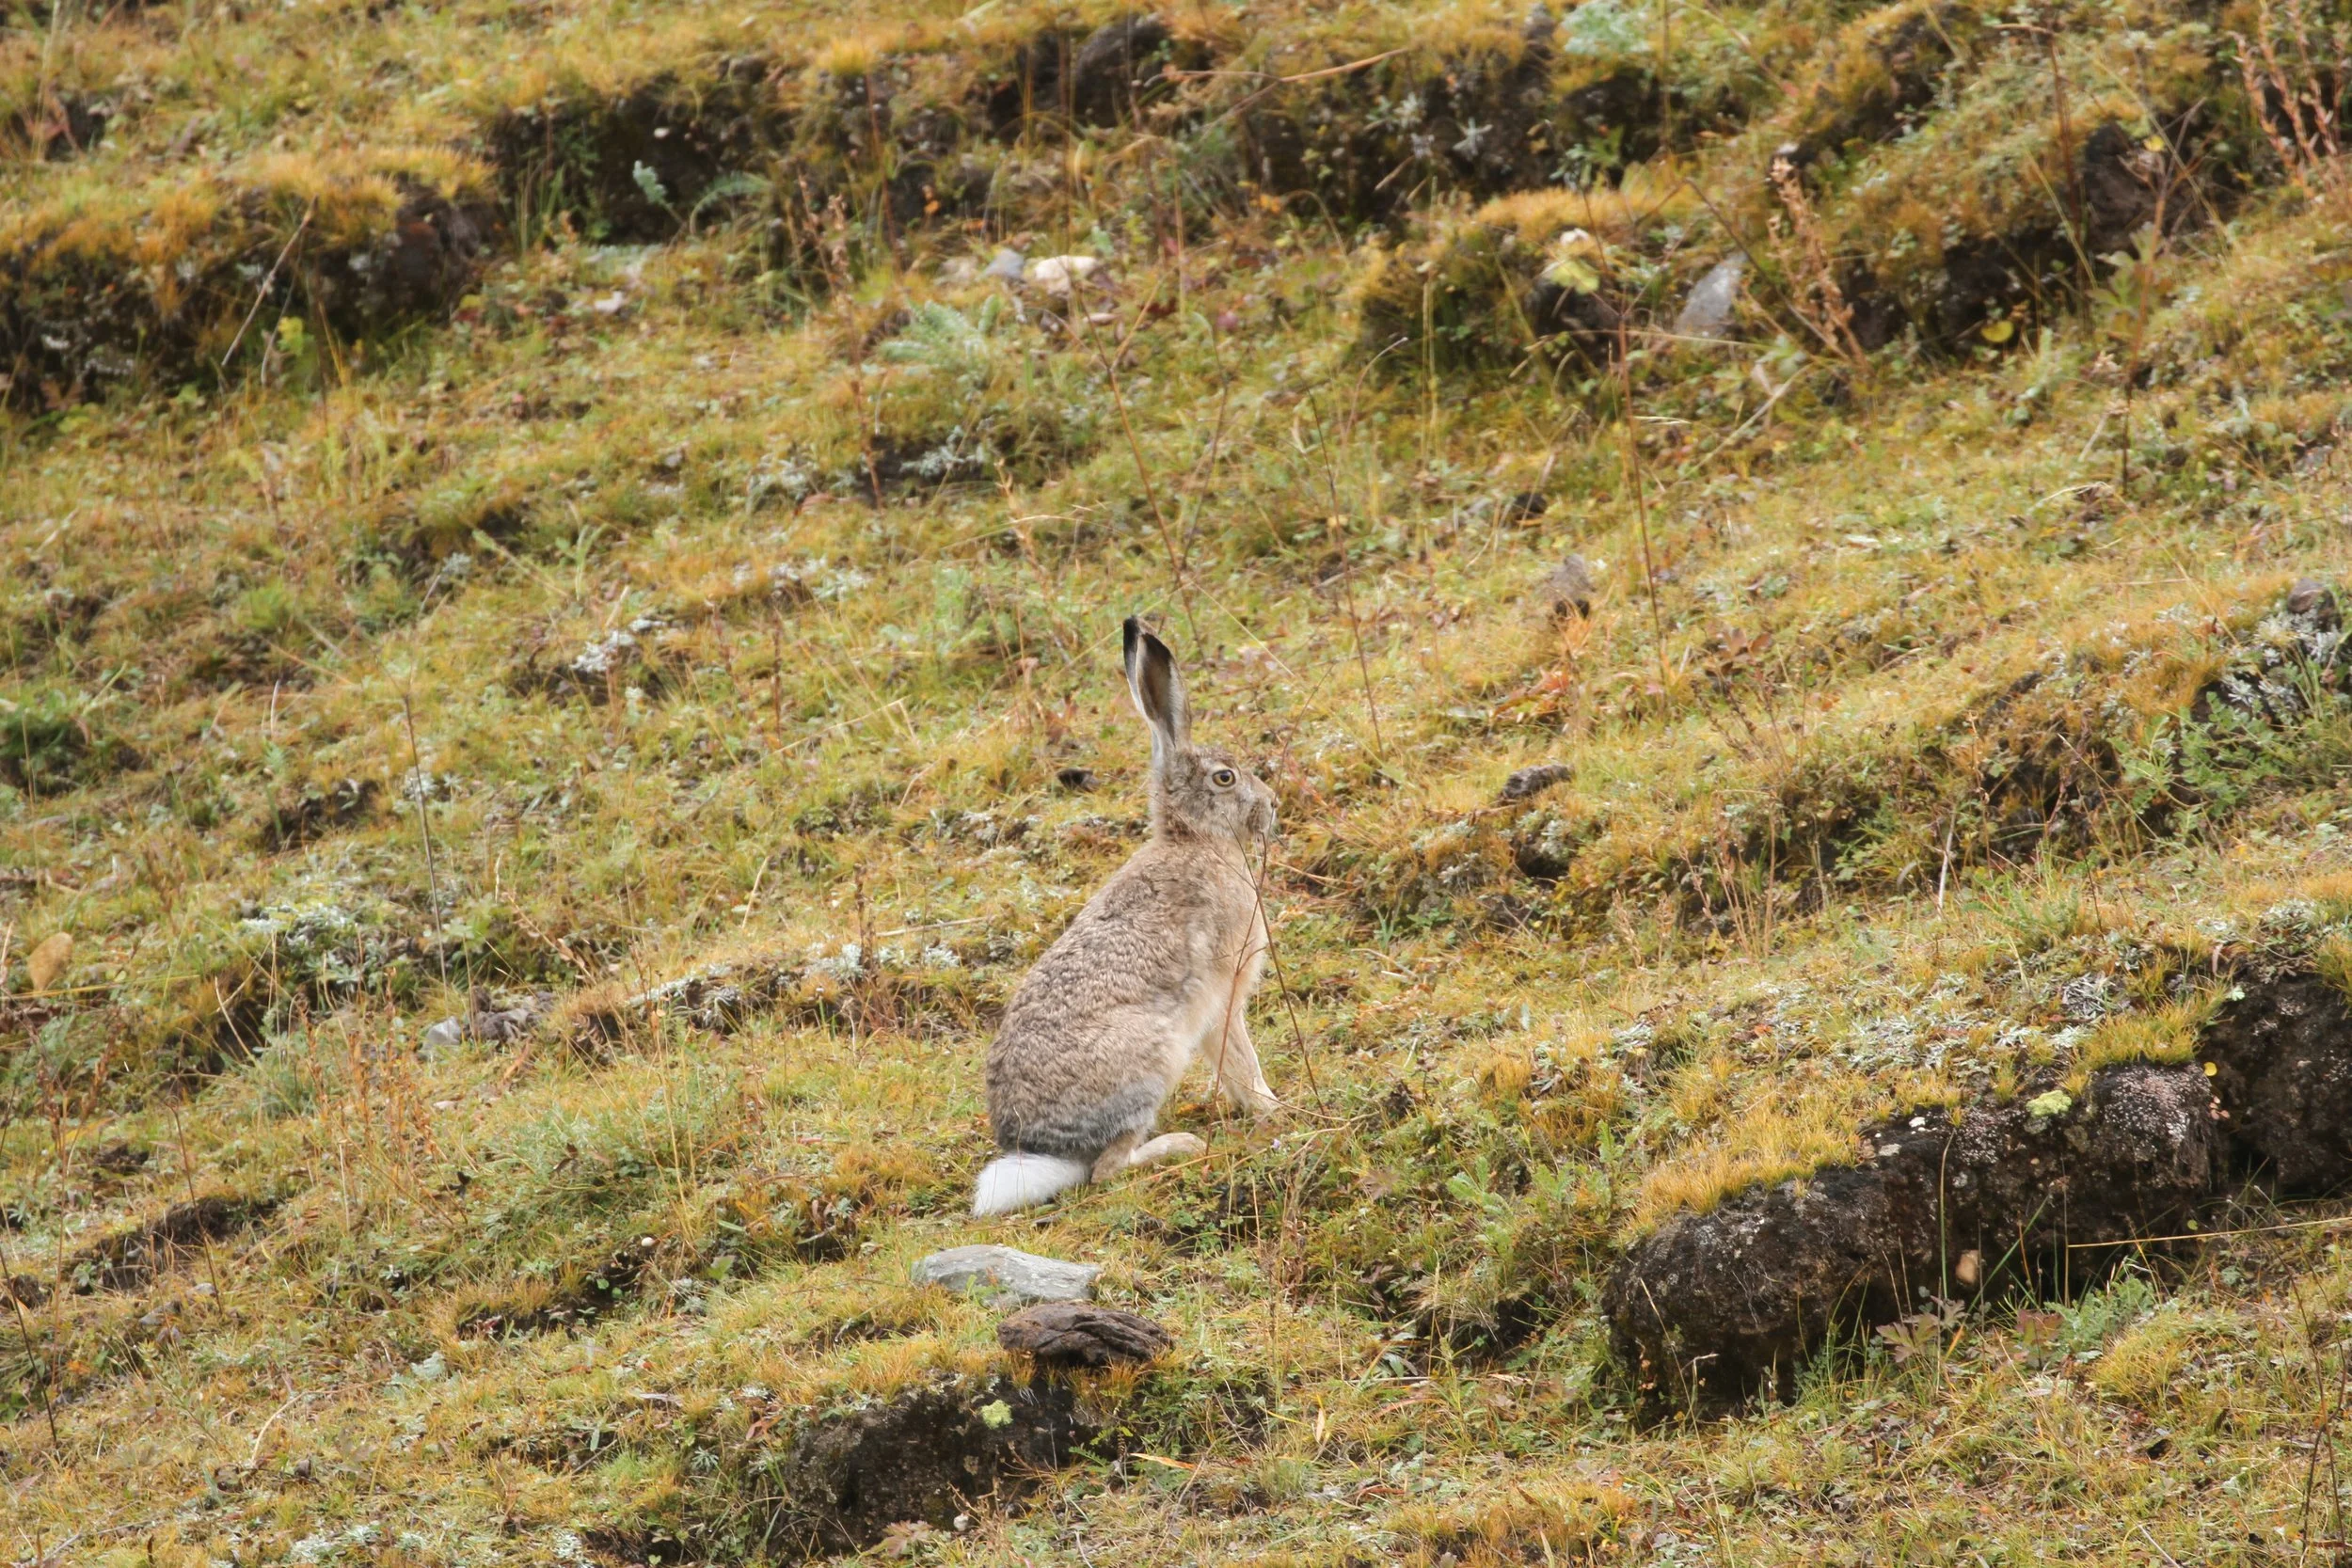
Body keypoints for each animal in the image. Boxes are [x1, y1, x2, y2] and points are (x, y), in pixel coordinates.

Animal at [973, 617, 1282, 1217]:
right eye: (1226, 778)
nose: (1271, 805)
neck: (1195, 840)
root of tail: (1044, 1149)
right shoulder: (1223, 991)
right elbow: (1239, 1057)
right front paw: (1273, 1108)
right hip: (1152, 1058)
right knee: (1107, 1170)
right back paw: (1180, 1144)